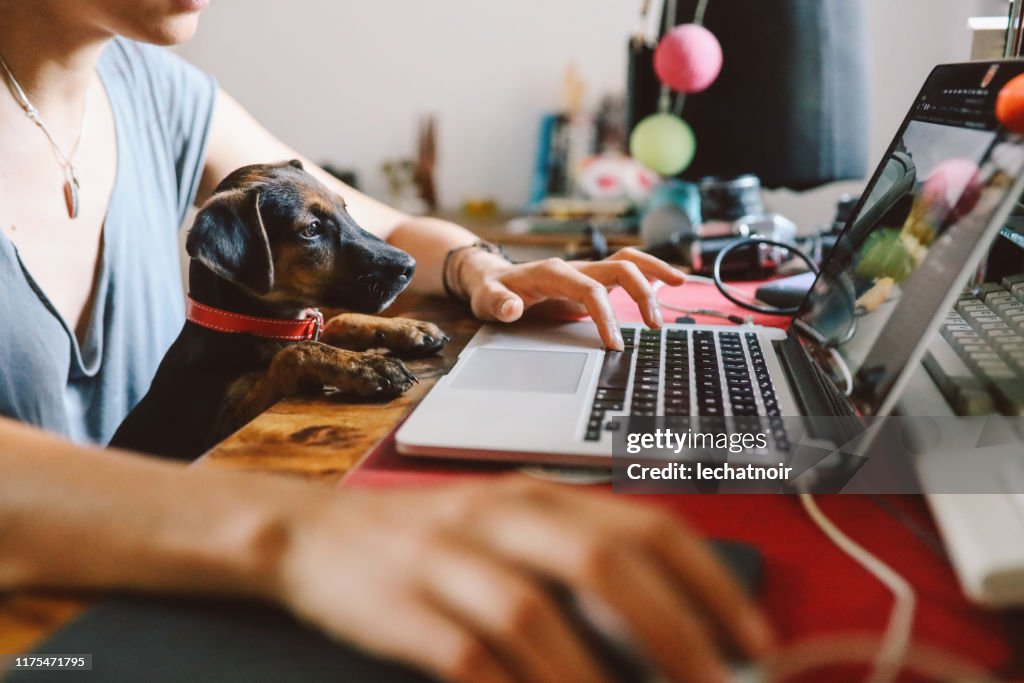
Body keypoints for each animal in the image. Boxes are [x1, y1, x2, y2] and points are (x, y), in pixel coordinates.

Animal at [113, 160, 448, 458]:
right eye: (311, 229)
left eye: (345, 209)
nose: (409, 267)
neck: (248, 324)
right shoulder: (221, 425)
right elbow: (295, 353)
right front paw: (367, 366)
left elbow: (337, 322)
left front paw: (409, 328)